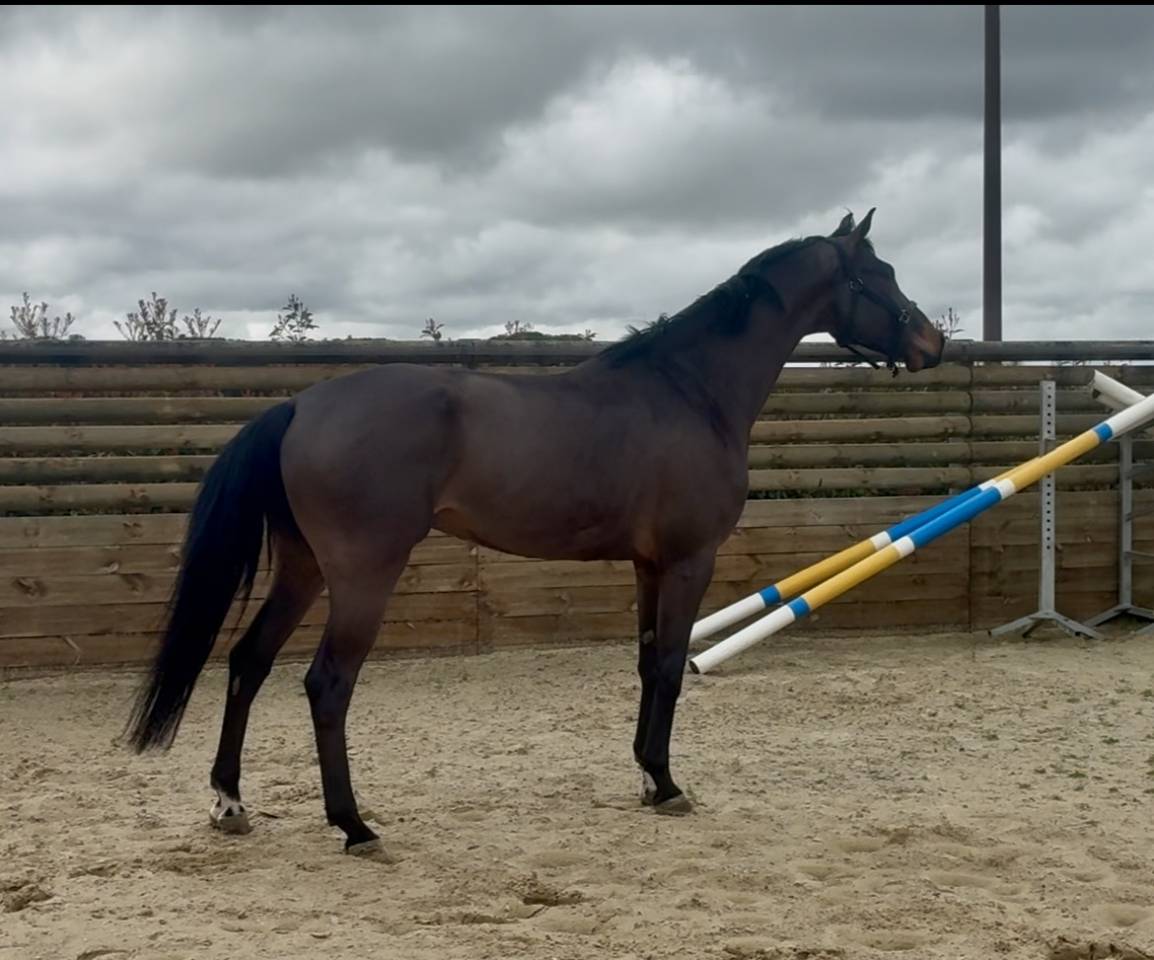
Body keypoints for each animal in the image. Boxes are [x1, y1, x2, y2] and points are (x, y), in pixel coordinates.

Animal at [125, 208, 945, 857]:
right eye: (878, 274)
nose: (932, 342)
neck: (688, 391)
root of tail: (299, 406)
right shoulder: (690, 562)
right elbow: (672, 667)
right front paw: (669, 784)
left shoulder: (648, 566)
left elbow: (647, 664)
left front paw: (647, 777)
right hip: (361, 576)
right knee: (326, 684)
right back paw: (354, 827)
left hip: (303, 570)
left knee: (248, 662)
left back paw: (230, 803)